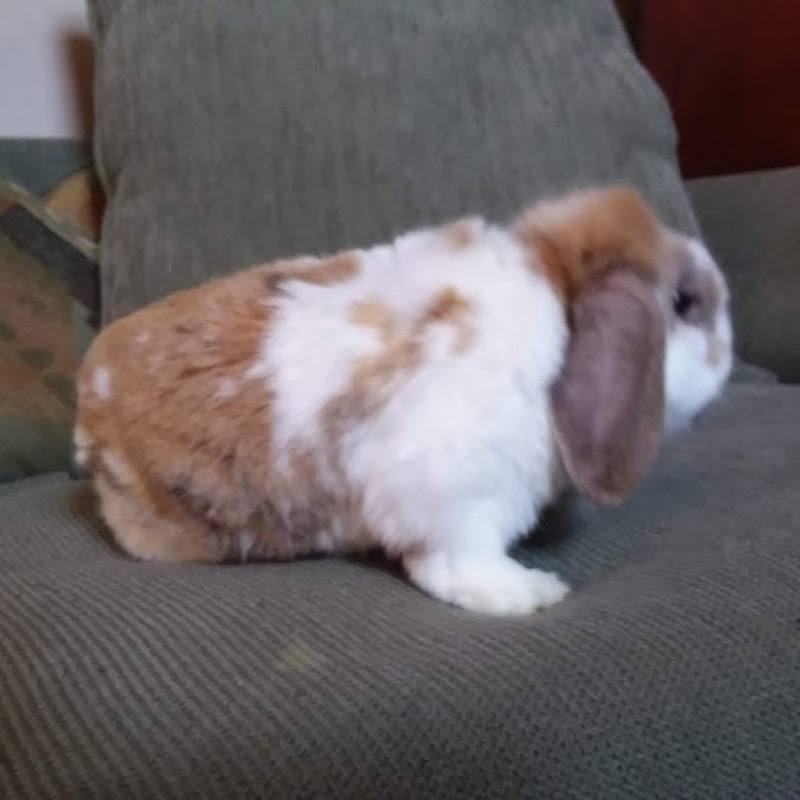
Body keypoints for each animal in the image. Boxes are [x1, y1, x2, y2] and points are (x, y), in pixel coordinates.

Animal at [75, 186, 733, 615]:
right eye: (684, 303)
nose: (729, 353)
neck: (558, 305)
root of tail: (90, 395)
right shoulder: (453, 492)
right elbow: (456, 562)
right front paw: (527, 593)